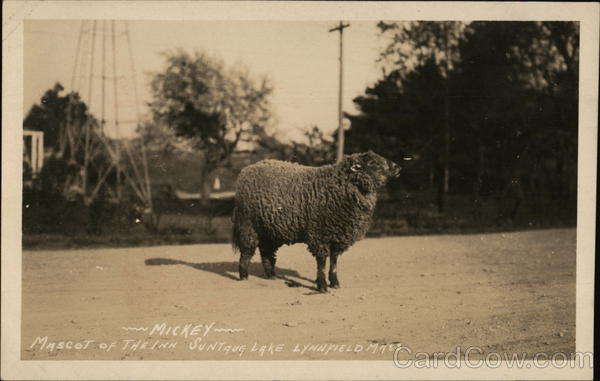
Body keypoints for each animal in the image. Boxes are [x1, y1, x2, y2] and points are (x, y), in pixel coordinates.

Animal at [232, 151, 400, 290]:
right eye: (372, 163)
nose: (397, 167)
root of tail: (247, 169)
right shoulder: (320, 234)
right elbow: (322, 262)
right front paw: (322, 285)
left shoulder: (337, 236)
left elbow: (334, 262)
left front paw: (335, 283)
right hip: (248, 224)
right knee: (247, 251)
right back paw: (243, 276)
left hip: (270, 230)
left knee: (266, 251)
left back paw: (271, 275)